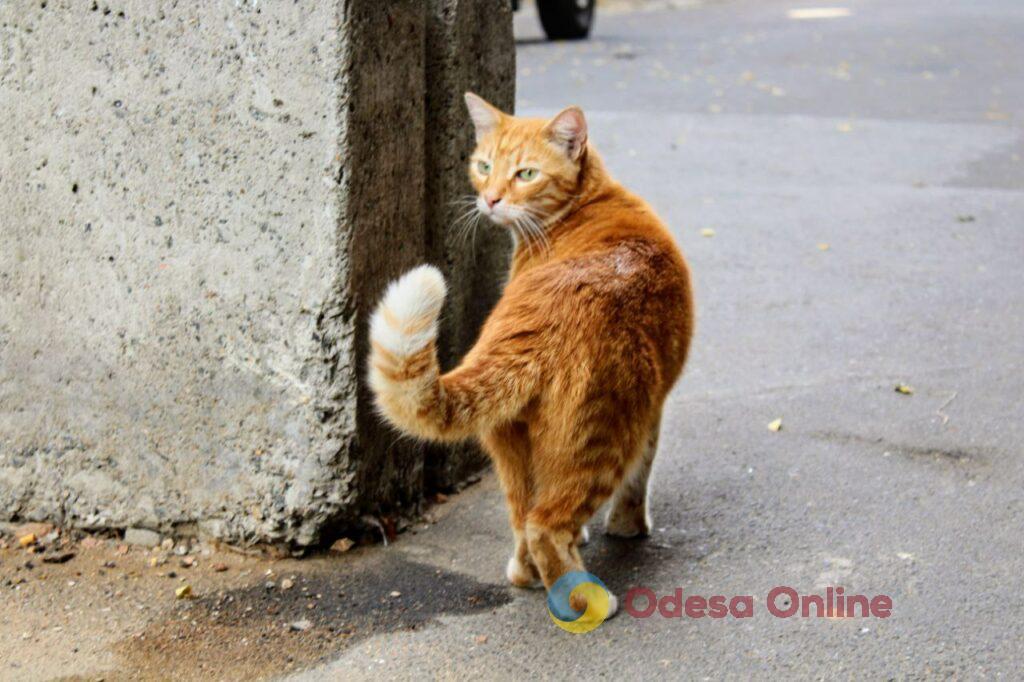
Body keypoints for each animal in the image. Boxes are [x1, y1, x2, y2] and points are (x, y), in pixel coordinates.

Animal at [368, 93, 696, 614]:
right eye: (484, 166)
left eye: (525, 174)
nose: (491, 199)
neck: (590, 201)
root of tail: (533, 329)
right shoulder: (653, 409)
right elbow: (638, 479)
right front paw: (628, 528)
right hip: (603, 440)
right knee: (546, 524)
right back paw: (587, 598)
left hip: (513, 444)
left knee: (525, 519)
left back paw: (527, 575)